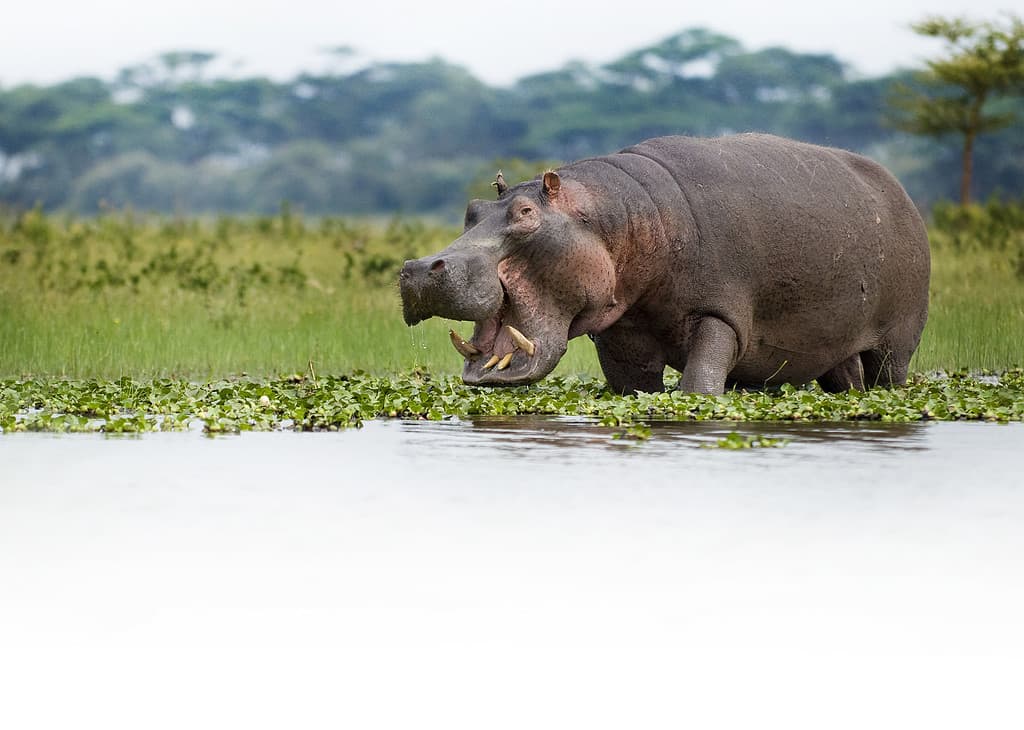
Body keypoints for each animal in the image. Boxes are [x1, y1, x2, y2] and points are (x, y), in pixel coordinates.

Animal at [397, 132, 929, 393]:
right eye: (473, 210)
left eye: (526, 214)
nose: (419, 268)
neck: (618, 216)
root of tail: (901, 189)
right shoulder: (622, 332)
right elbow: (633, 389)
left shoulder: (721, 314)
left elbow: (698, 387)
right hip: (832, 347)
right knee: (846, 380)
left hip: (897, 342)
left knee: (889, 378)